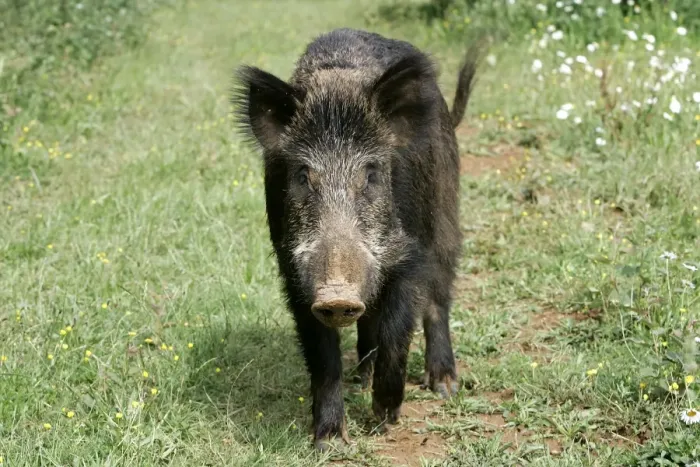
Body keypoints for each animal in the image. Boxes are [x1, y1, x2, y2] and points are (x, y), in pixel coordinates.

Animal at [232, 28, 480, 451]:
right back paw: (361, 378)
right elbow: (323, 358)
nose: (337, 296)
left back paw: (444, 386)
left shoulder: (409, 253)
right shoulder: (294, 270)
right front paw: (329, 441)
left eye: (371, 174)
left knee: (438, 296)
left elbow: (398, 331)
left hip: (445, 212)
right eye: (303, 175)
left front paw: (384, 418)